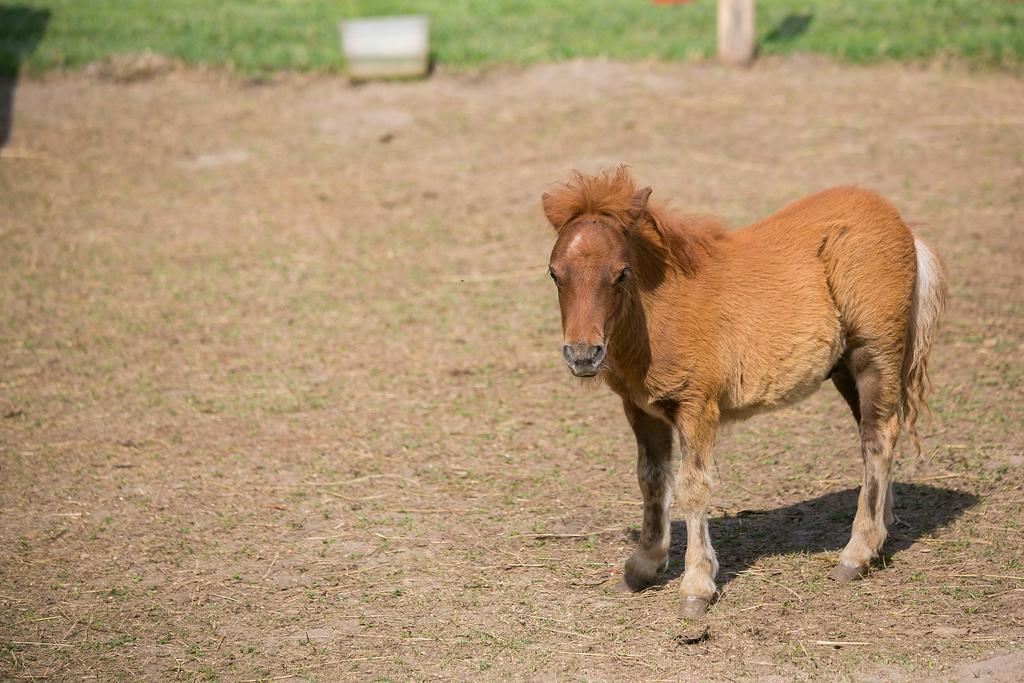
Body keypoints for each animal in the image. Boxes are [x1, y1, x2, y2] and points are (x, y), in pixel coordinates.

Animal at [540, 166, 946, 618]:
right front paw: (642, 568)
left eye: (621, 272)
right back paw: (881, 531)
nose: (583, 355)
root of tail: (904, 228)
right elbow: (652, 479)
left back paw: (856, 554)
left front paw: (696, 587)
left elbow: (693, 487)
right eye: (554, 273)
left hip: (875, 354)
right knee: (877, 433)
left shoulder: (697, 406)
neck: (662, 312)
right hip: (845, 370)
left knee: (878, 438)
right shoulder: (641, 408)